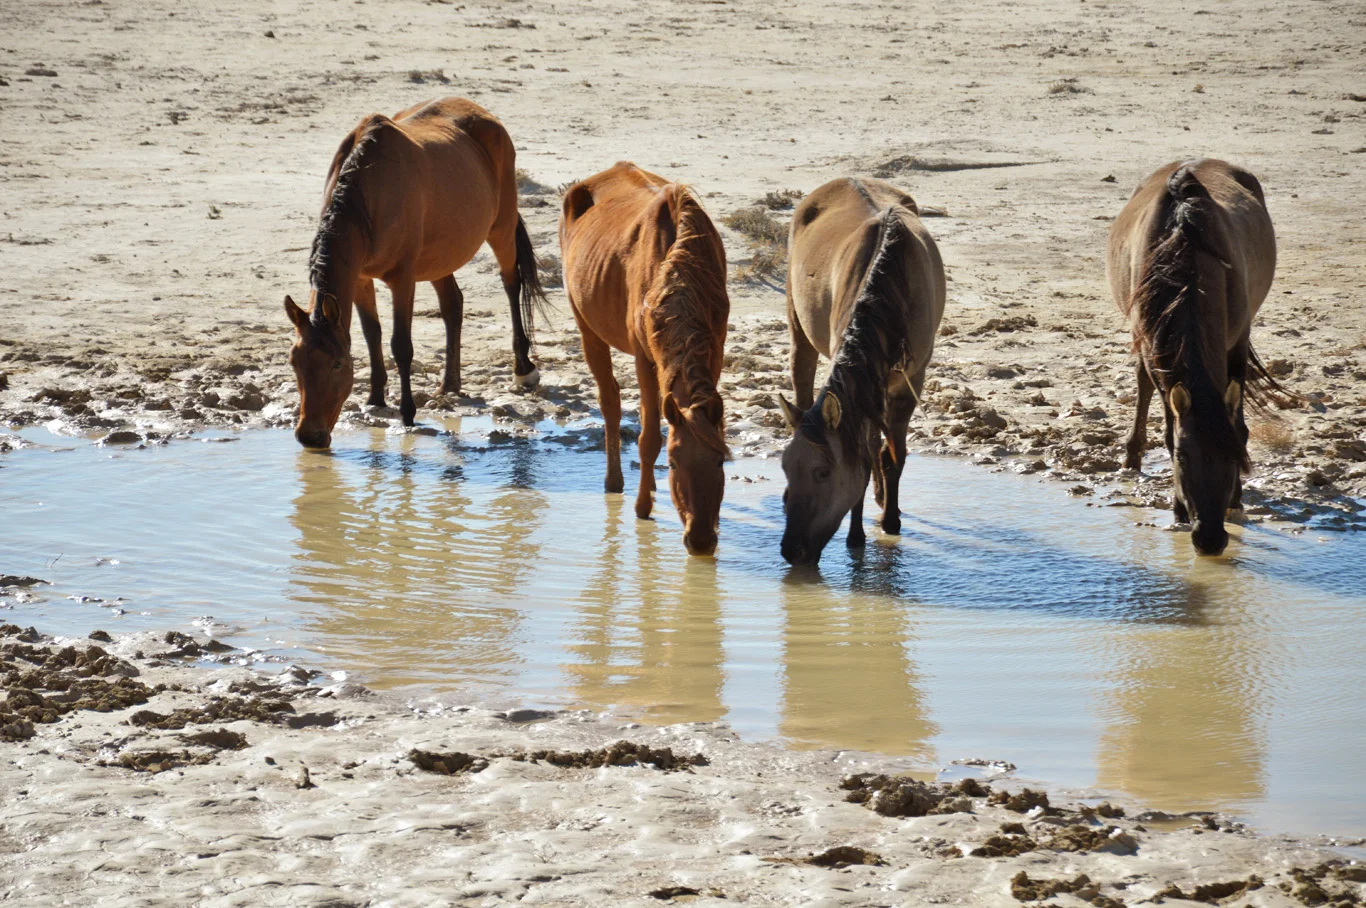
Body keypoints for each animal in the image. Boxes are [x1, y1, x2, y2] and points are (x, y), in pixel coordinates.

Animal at [284, 97, 547, 449]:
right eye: (294, 361)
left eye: (337, 364)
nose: (309, 436)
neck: (368, 192)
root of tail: (482, 113)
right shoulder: (360, 278)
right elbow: (372, 333)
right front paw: (375, 398)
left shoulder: (403, 278)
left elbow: (400, 344)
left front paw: (407, 412)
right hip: (441, 257)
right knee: (453, 304)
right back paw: (450, 384)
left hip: (501, 227)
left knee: (511, 283)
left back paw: (523, 369)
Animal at [559, 162, 730, 556]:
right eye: (674, 462)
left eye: (719, 461)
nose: (701, 540)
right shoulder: (643, 357)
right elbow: (648, 437)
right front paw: (642, 507)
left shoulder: (716, 347)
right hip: (587, 328)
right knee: (609, 400)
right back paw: (615, 482)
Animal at [777, 177, 946, 566]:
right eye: (785, 468)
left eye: (823, 472)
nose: (792, 550)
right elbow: (866, 456)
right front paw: (856, 535)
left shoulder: (908, 383)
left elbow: (891, 456)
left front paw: (890, 520)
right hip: (799, 329)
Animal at [1107, 158, 1277, 555]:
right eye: (1182, 458)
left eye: (1234, 456)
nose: (1210, 539)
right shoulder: (1153, 349)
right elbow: (1169, 428)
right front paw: (1178, 509)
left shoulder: (1238, 342)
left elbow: (1239, 423)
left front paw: (1236, 499)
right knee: (1141, 384)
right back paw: (1131, 457)